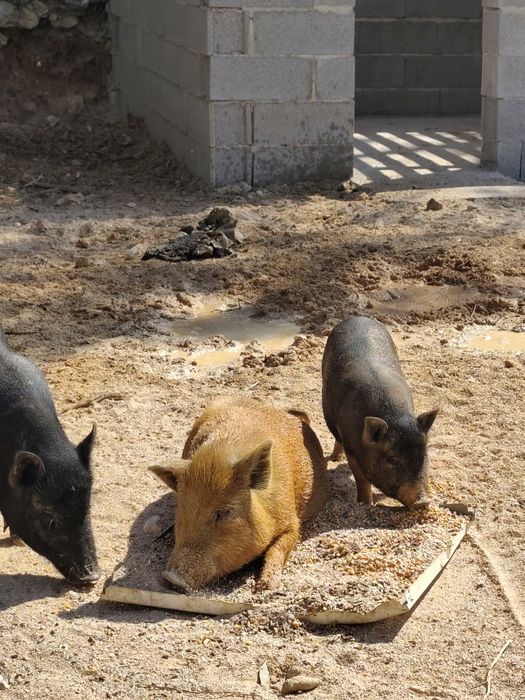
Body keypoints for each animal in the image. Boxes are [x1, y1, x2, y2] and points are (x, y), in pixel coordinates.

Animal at [149, 397, 328, 590]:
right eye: (182, 509)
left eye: (225, 512)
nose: (171, 577)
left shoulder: (291, 519)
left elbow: (281, 546)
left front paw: (266, 587)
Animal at [322, 316, 438, 508]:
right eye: (393, 459)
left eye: (424, 455)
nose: (423, 501)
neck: (393, 415)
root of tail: (357, 317)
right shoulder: (351, 447)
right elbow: (361, 479)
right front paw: (366, 504)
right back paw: (333, 459)